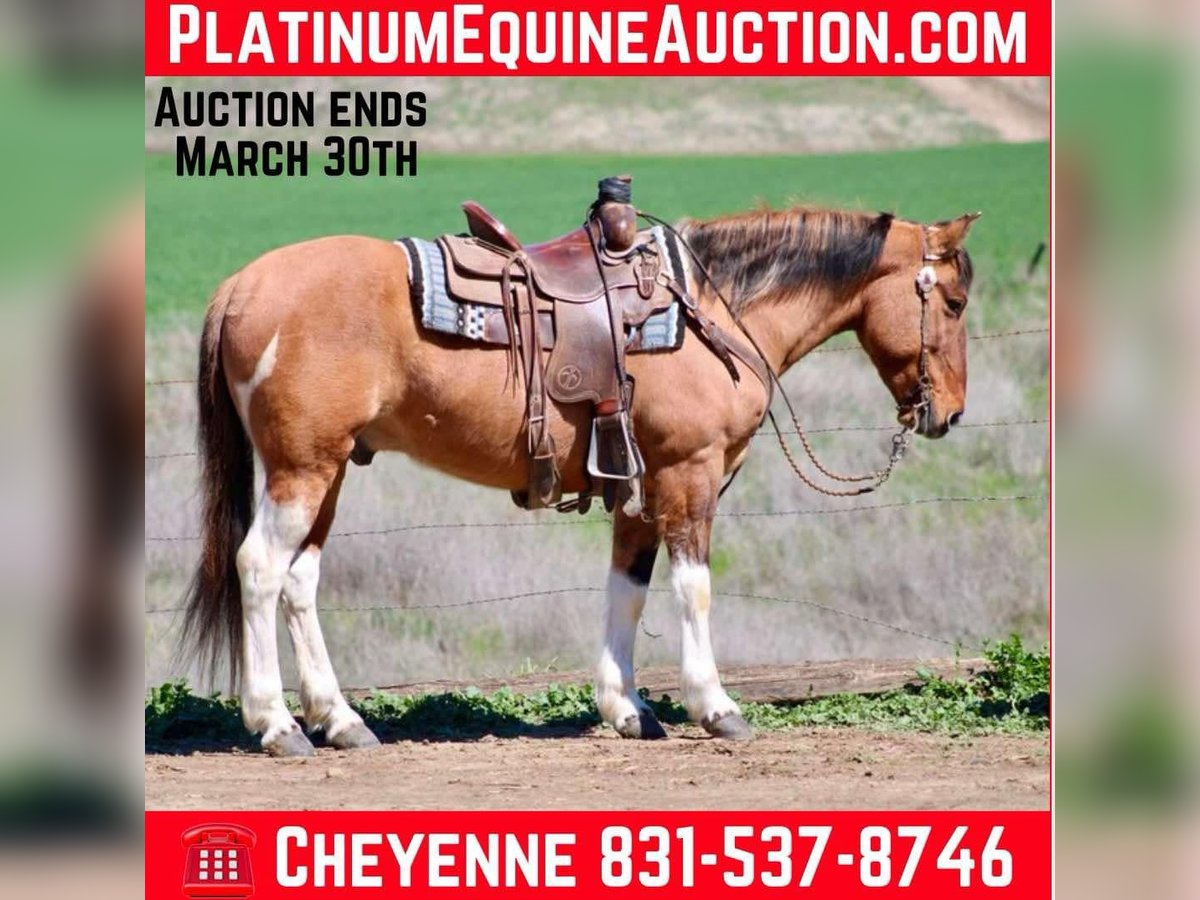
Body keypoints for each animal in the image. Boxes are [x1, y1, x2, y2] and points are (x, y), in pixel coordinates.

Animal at [181, 202, 980, 756]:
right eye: (954, 302)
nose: (950, 413)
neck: (711, 312)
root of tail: (242, 286)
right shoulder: (689, 473)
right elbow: (693, 588)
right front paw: (716, 707)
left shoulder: (638, 487)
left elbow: (627, 590)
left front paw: (627, 710)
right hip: (303, 468)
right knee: (259, 568)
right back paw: (277, 724)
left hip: (327, 470)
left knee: (299, 581)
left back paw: (341, 721)